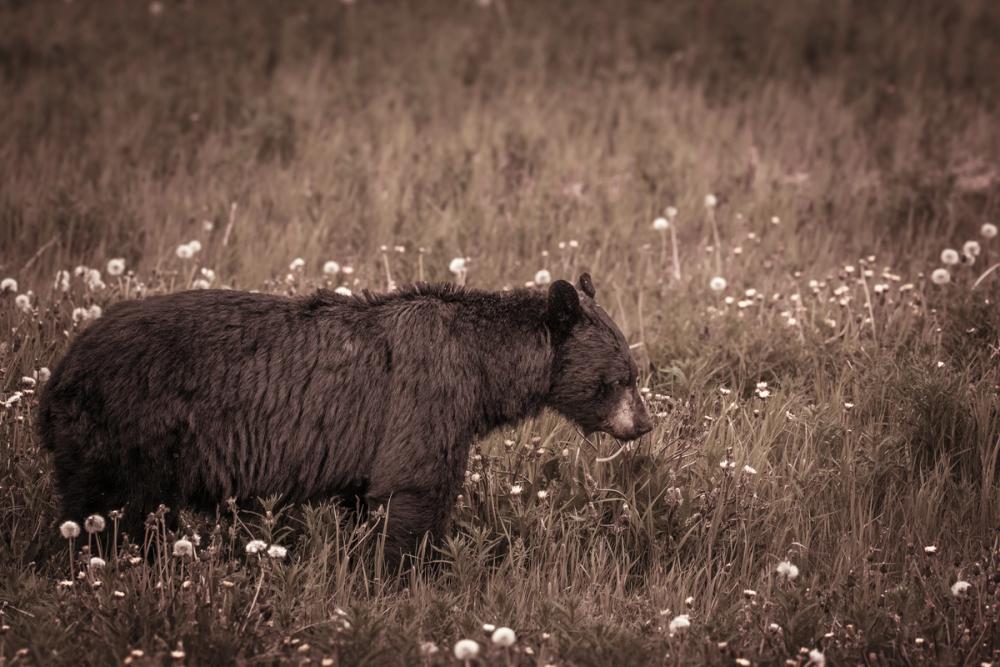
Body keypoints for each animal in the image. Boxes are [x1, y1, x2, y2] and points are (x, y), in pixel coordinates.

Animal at [38, 273, 653, 567]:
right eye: (623, 376)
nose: (643, 425)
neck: (484, 368)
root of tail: (60, 370)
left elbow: (369, 502)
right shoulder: (427, 397)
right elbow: (415, 490)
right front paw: (413, 576)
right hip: (126, 430)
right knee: (102, 513)